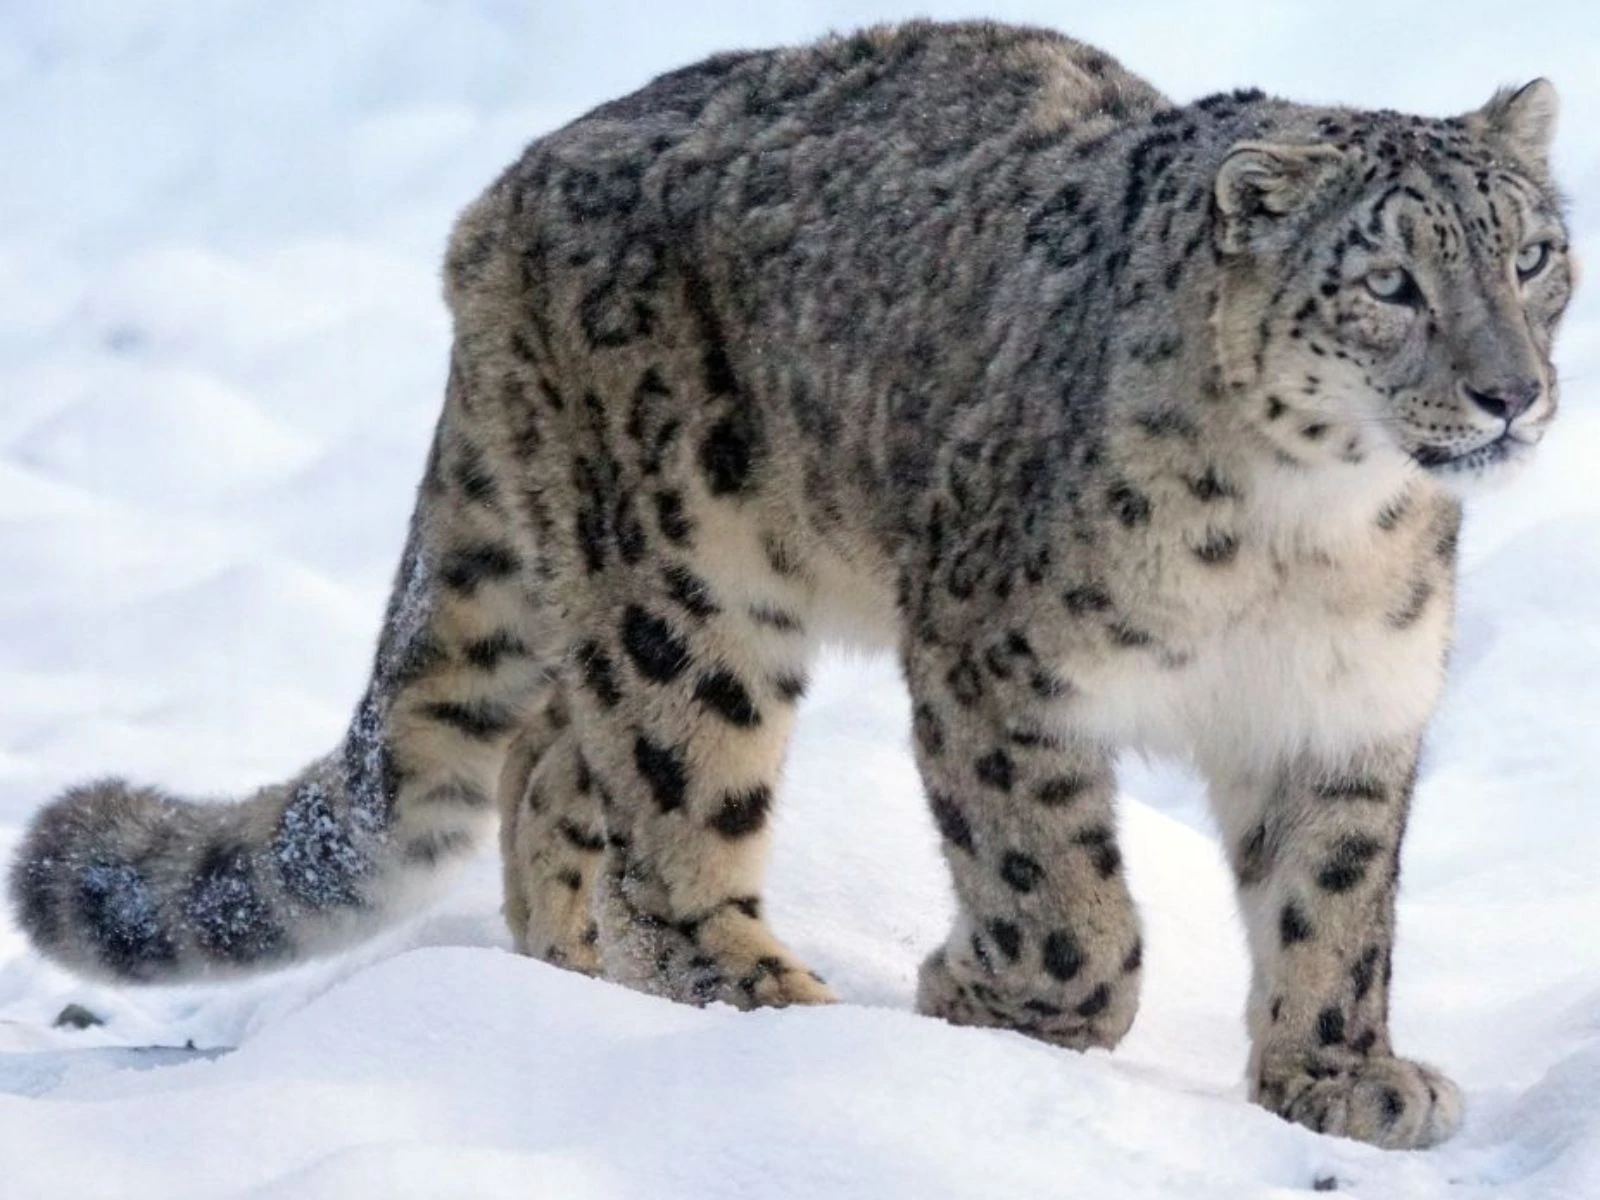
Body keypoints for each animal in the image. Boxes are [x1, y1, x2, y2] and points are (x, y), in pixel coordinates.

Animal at [9, 20, 1573, 1150]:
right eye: (1389, 282)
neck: (1311, 536)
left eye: (1534, 254)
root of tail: (503, 196)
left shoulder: (1346, 708)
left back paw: (571, 980)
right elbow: (1060, 891)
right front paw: (989, 1001)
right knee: (662, 808)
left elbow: (1336, 905)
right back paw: (766, 1007)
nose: (1511, 392)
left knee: (550, 765)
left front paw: (1341, 1078)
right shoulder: (999, 665)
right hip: (684, 585)